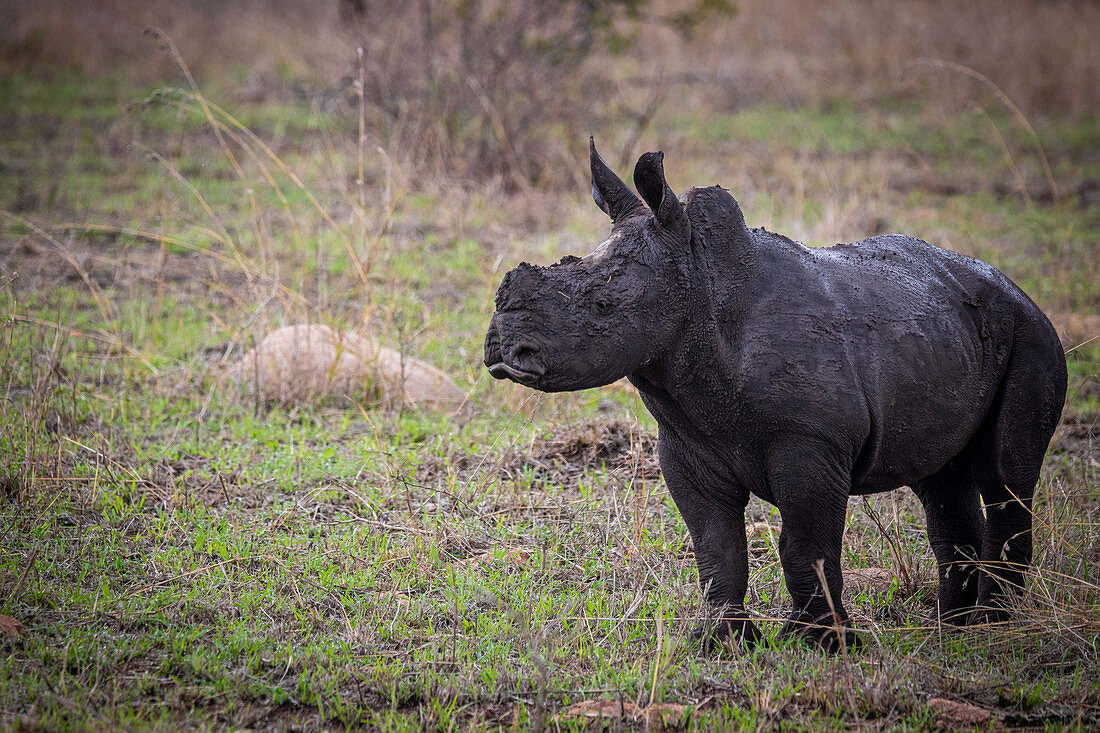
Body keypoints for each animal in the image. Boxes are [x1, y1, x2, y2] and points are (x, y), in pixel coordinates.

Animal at [484, 139, 1064, 647]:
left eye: (602, 306)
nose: (502, 350)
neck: (700, 286)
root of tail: (1019, 290)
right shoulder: (686, 442)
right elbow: (716, 547)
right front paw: (724, 644)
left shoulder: (810, 442)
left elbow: (805, 545)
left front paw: (824, 645)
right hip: (945, 332)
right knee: (940, 478)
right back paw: (952, 630)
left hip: (1030, 335)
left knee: (1005, 476)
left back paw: (995, 626)